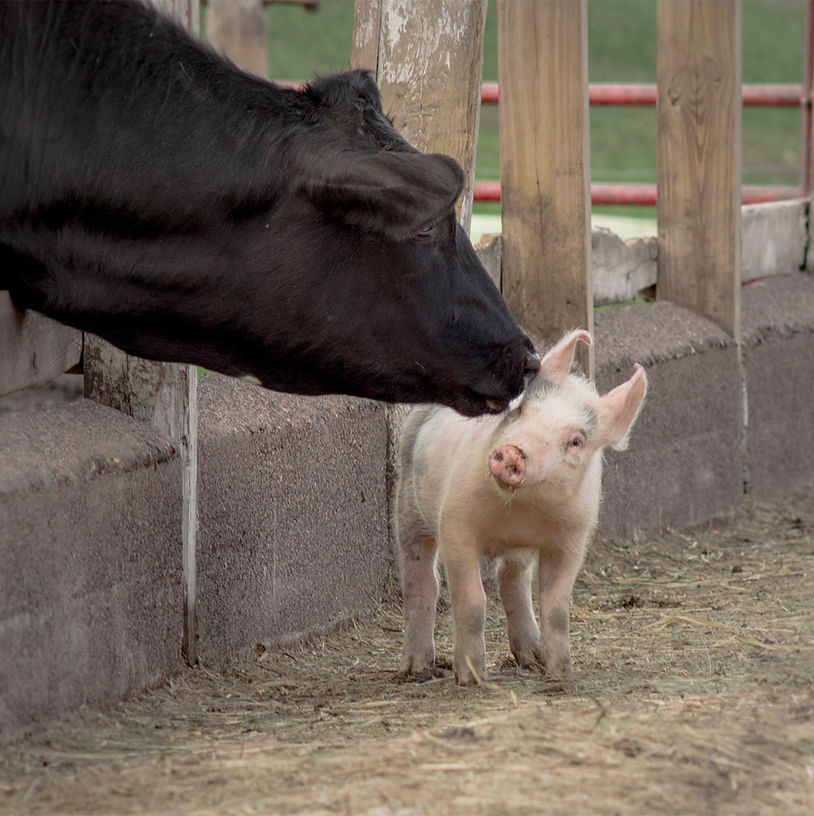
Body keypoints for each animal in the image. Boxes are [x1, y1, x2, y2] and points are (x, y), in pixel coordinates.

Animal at [393, 330, 647, 685]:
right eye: (522, 410)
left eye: (576, 441)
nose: (512, 452)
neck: (518, 513)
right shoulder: (455, 525)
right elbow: (472, 600)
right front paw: (471, 679)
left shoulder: (572, 539)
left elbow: (556, 606)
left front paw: (560, 673)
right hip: (408, 504)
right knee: (421, 581)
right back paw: (416, 669)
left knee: (510, 577)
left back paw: (530, 658)